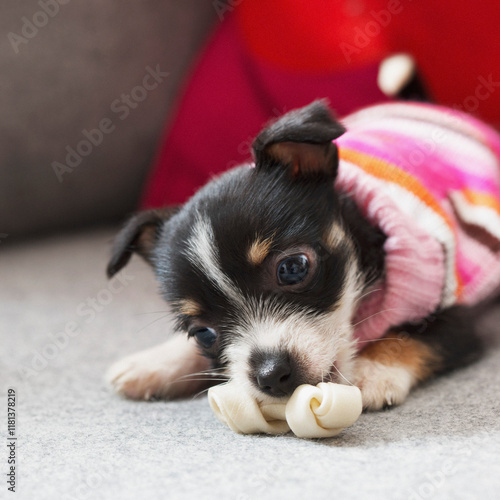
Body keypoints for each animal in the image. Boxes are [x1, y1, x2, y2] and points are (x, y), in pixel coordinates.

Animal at [106, 100, 500, 410]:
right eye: (202, 334)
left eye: (293, 268)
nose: (270, 376)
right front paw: (155, 362)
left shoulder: (456, 315)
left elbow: (410, 336)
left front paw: (370, 371)